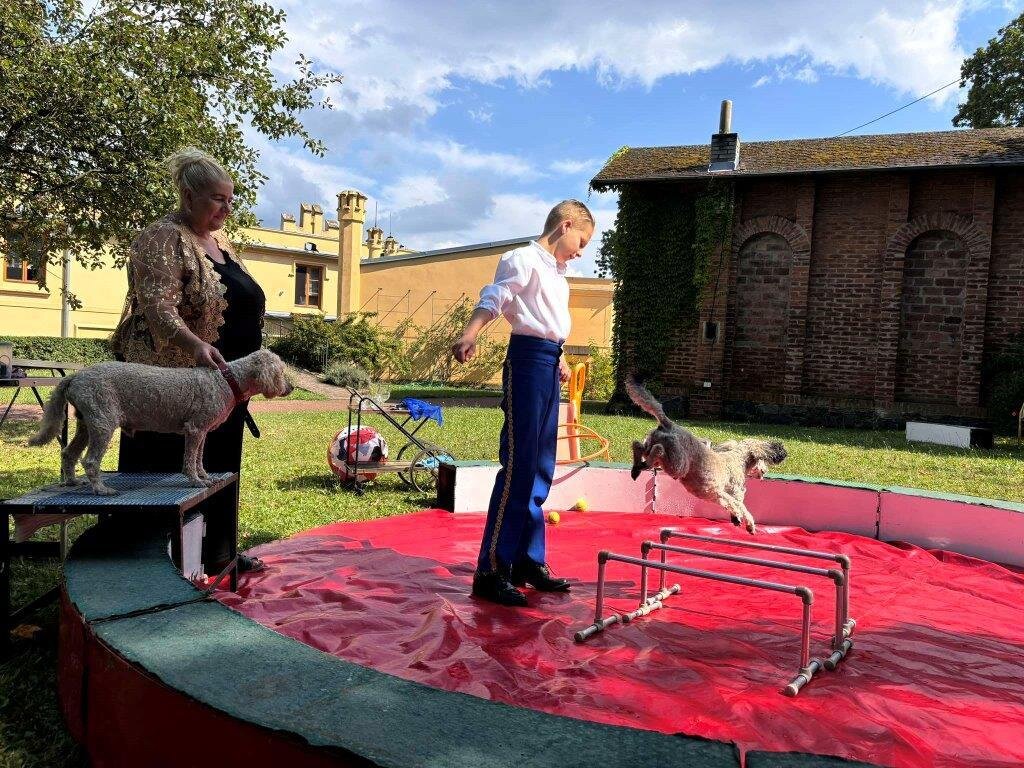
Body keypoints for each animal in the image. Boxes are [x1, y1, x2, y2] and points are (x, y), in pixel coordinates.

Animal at [29, 349, 292, 495]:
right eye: (281, 371)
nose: (290, 388)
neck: (227, 380)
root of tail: (75, 376)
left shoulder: (201, 431)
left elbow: (198, 458)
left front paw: (205, 477)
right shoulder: (195, 429)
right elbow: (189, 461)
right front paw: (195, 481)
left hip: (87, 424)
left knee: (68, 453)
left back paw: (73, 481)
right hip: (103, 423)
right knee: (90, 461)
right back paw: (101, 489)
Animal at [625, 375, 786, 533]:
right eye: (762, 460)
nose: (764, 471)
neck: (738, 459)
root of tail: (669, 424)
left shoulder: (719, 495)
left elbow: (731, 505)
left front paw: (736, 518)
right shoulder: (732, 493)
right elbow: (740, 506)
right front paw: (748, 524)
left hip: (656, 449)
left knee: (638, 445)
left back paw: (636, 468)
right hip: (677, 464)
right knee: (657, 450)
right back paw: (642, 465)